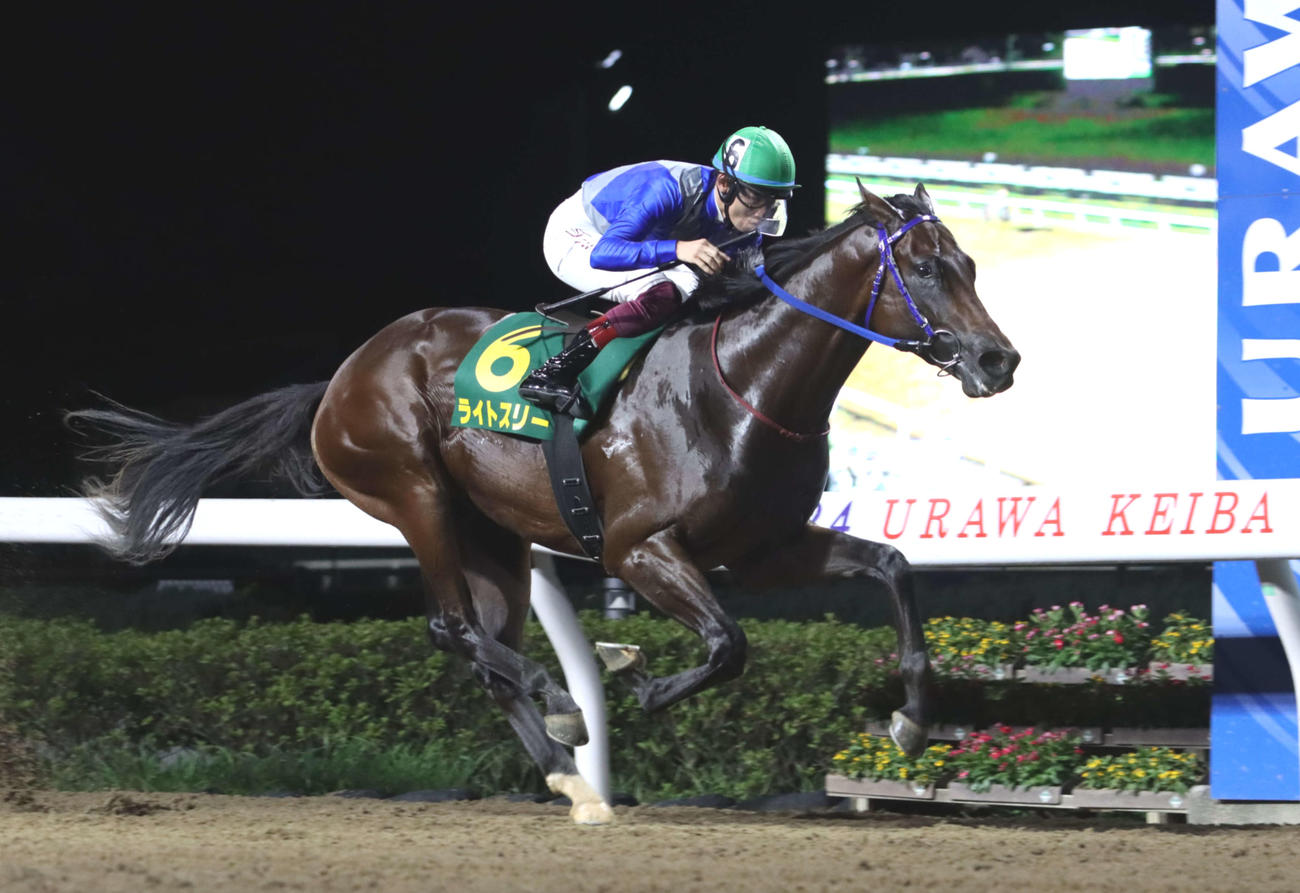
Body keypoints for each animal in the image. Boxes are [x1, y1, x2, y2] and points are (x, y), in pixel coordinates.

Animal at [66, 181, 1019, 824]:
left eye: (972, 263)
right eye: (926, 266)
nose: (997, 360)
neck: (744, 383)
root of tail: (337, 378)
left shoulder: (766, 547)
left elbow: (891, 565)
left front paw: (910, 721)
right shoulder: (638, 546)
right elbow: (728, 643)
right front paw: (636, 679)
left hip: (497, 537)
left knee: (485, 645)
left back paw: (569, 777)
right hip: (416, 493)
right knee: (453, 628)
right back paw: (562, 707)